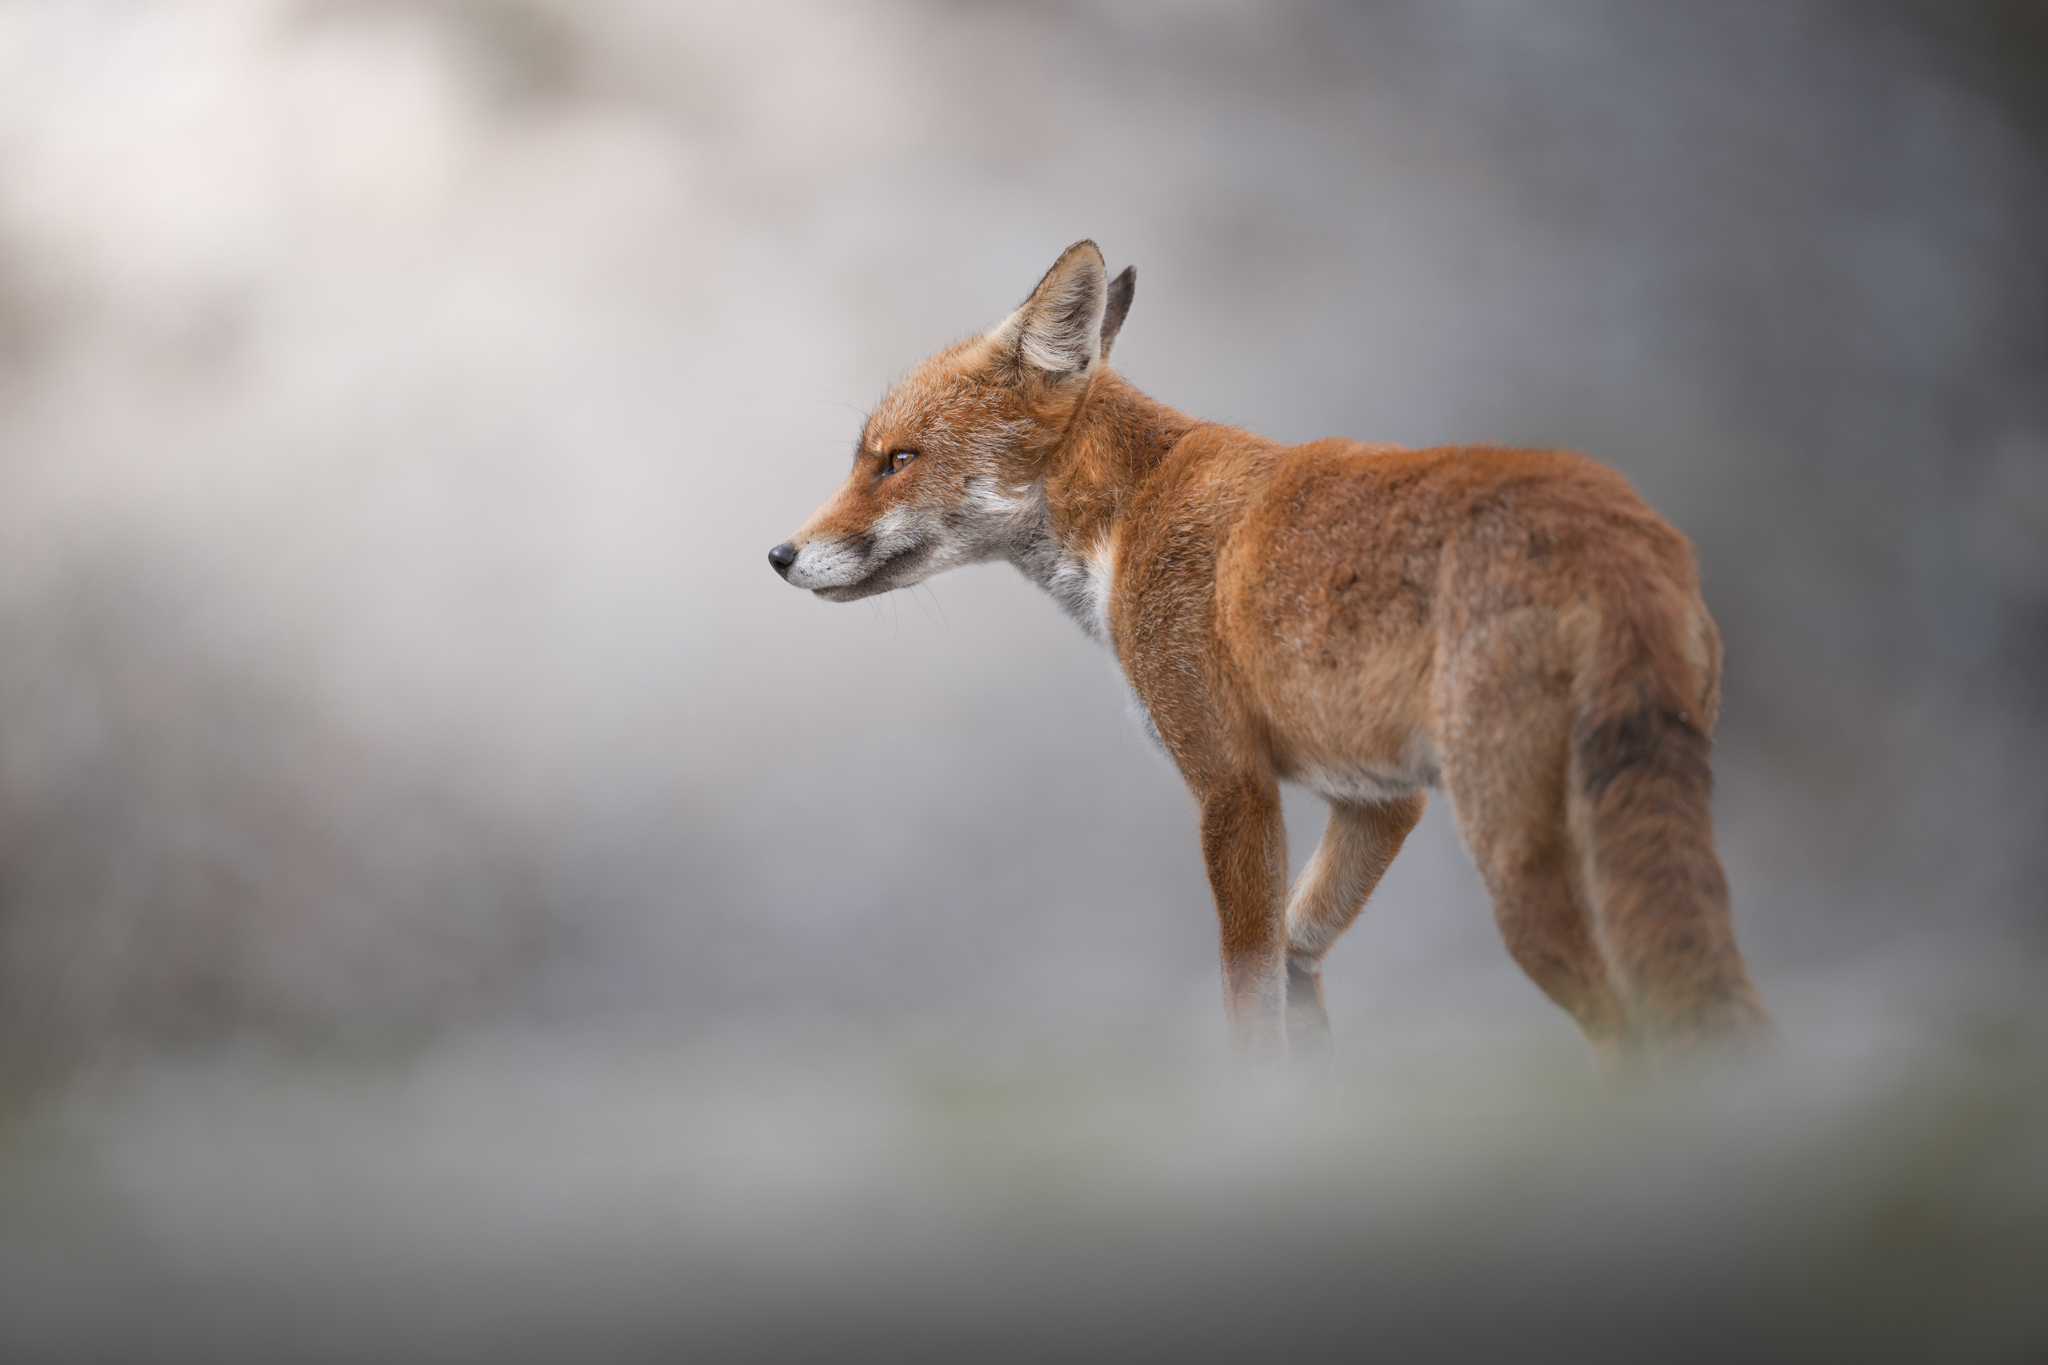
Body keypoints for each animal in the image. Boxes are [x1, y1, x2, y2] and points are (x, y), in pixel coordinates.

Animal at [769, 240, 1771, 1075]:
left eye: (896, 460)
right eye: (868, 458)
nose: (779, 555)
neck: (1126, 515)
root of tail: (1619, 525)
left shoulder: (1232, 787)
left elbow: (1247, 1003)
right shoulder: (1378, 797)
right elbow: (1297, 955)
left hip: (1519, 871)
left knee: (1639, 1033)